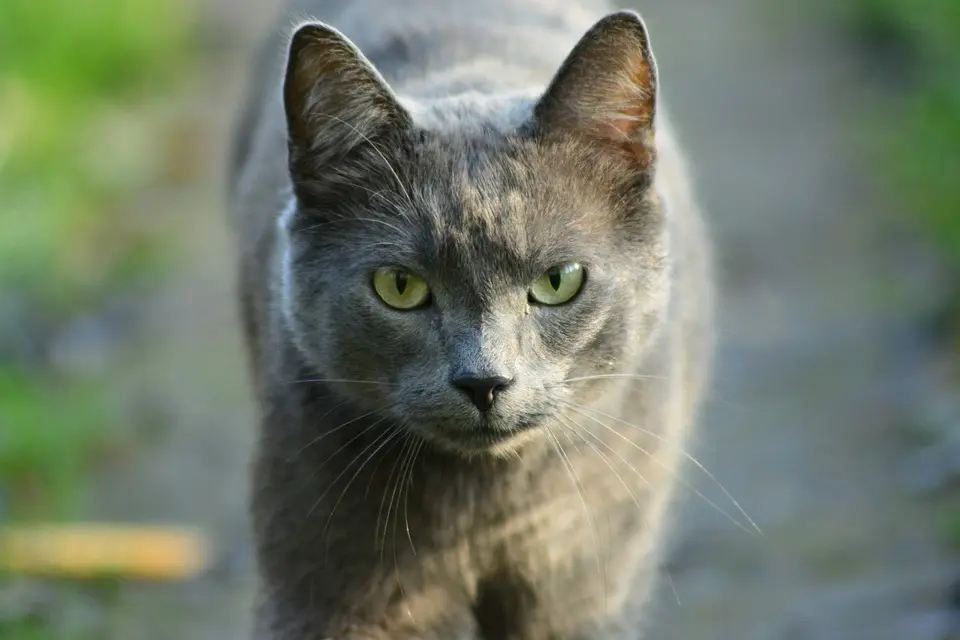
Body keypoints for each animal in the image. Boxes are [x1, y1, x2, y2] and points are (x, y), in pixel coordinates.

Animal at [231, 0, 712, 636]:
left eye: (559, 280)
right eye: (400, 286)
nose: (484, 381)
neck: (486, 511)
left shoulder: (585, 589)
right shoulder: (327, 589)